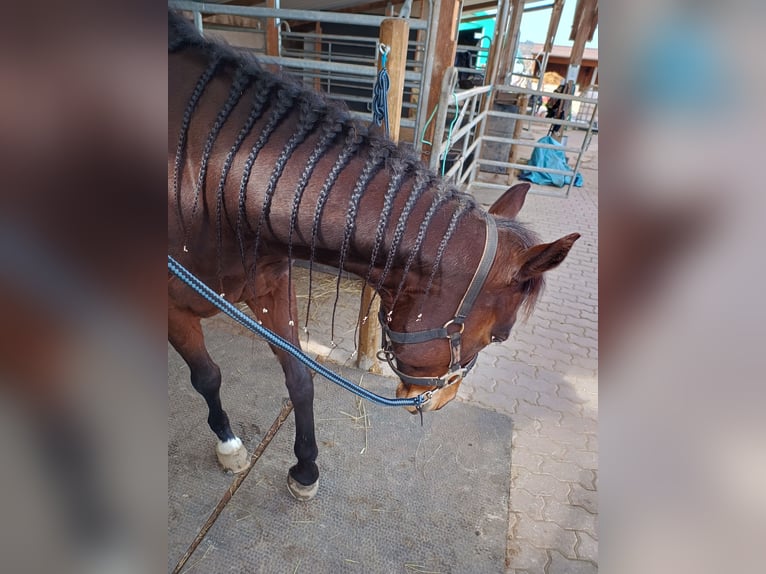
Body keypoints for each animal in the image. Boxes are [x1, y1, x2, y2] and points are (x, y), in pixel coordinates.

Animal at [166, 11, 576, 502]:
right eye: (500, 336)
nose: (444, 400)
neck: (211, 185)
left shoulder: (268, 286)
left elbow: (300, 377)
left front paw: (305, 469)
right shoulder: (172, 310)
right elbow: (207, 376)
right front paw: (230, 447)